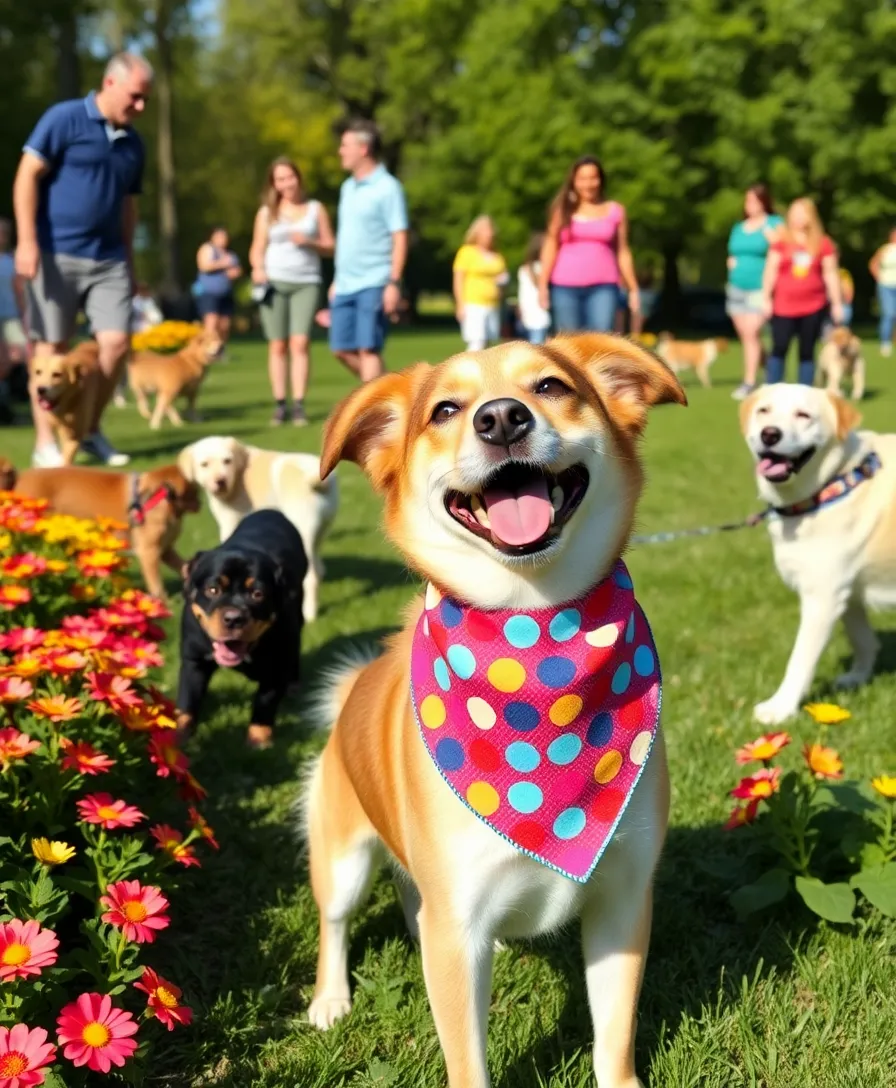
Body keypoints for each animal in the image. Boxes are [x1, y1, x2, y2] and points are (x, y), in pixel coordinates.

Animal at [13, 459, 200, 596]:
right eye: (194, 491)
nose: (200, 503)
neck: (158, 496)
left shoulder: (165, 550)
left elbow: (184, 566)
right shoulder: (149, 552)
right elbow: (157, 586)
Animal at [302, 332, 687, 1088]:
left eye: (551, 387)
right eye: (446, 409)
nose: (502, 418)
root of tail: (361, 679)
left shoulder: (624, 899)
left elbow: (614, 1036)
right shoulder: (456, 929)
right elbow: (468, 1060)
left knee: (410, 896)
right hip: (342, 857)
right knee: (335, 923)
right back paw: (330, 999)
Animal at [743, 382, 896, 722]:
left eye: (804, 415)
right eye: (764, 411)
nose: (769, 434)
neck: (834, 484)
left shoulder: (822, 598)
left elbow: (800, 659)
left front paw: (780, 707)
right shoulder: (848, 593)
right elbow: (864, 640)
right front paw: (858, 677)